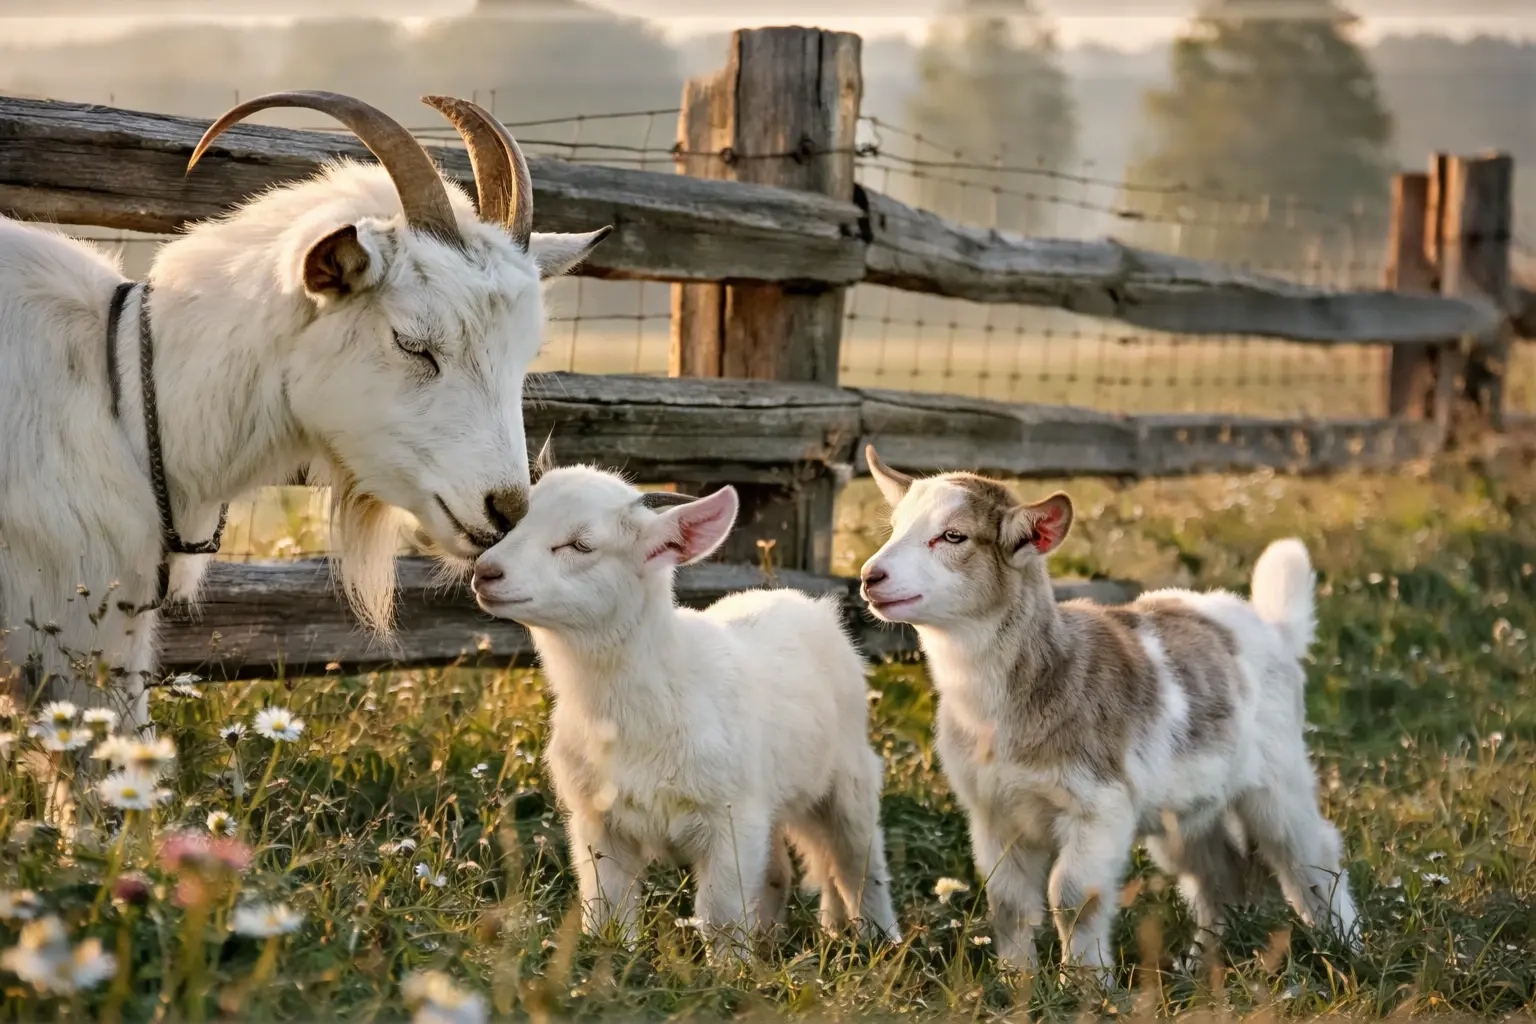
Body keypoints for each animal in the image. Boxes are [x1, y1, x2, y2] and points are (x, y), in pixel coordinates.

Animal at [470, 460, 901, 957]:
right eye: (513, 525)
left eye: (580, 544)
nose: (486, 572)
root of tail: (808, 603)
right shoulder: (598, 820)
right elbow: (608, 908)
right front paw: (613, 958)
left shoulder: (730, 819)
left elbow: (722, 916)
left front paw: (730, 970)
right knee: (781, 871)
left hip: (848, 776)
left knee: (857, 863)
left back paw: (879, 940)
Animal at [857, 445, 1358, 979]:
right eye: (895, 527)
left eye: (954, 536)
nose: (870, 577)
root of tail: (1268, 624)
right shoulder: (994, 812)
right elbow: (1008, 902)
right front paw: (1017, 981)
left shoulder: (1099, 806)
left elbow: (1074, 896)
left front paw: (1085, 982)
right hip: (1186, 809)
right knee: (1217, 872)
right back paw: (1198, 964)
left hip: (1277, 780)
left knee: (1311, 853)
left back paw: (1347, 946)